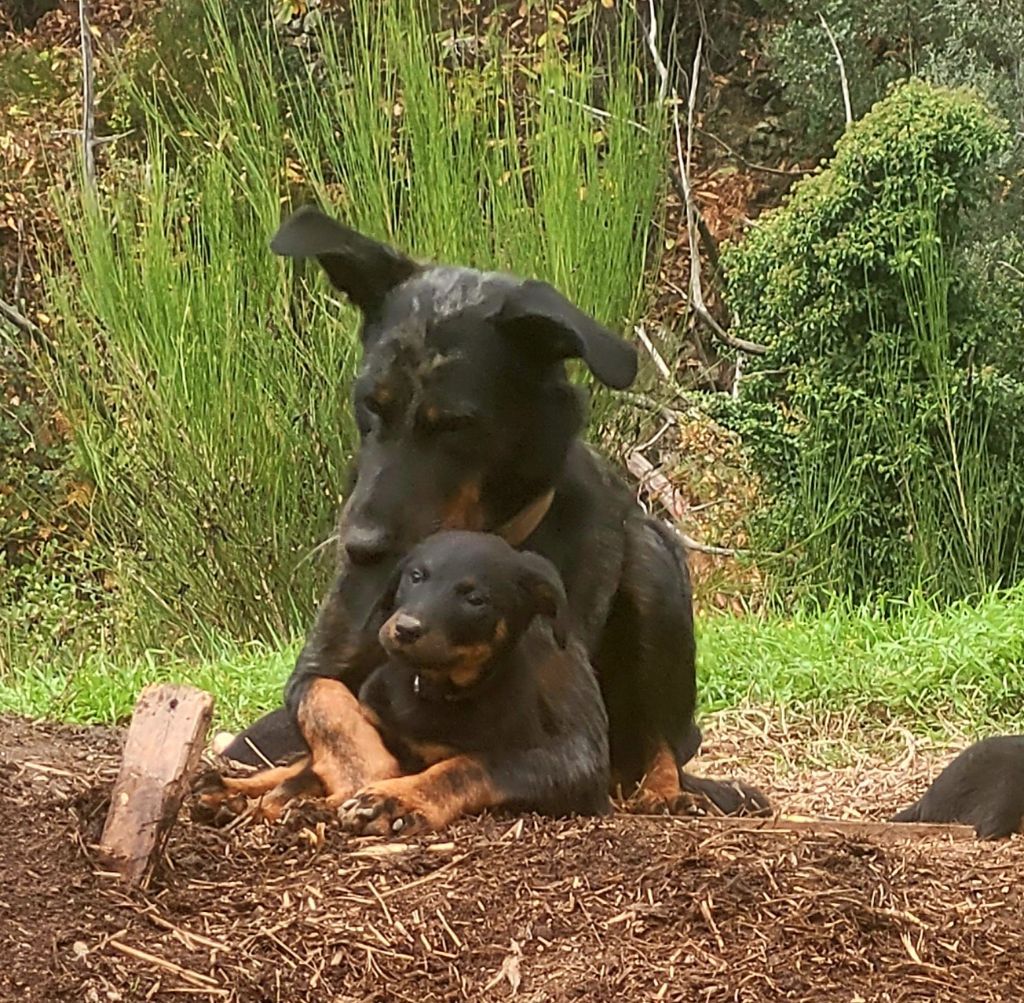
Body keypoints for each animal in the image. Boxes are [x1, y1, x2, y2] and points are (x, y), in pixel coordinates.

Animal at [333, 528, 606, 836]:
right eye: (416, 576)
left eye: (476, 600)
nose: (405, 629)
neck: (435, 692)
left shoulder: (570, 764)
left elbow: (468, 765)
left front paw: (394, 799)